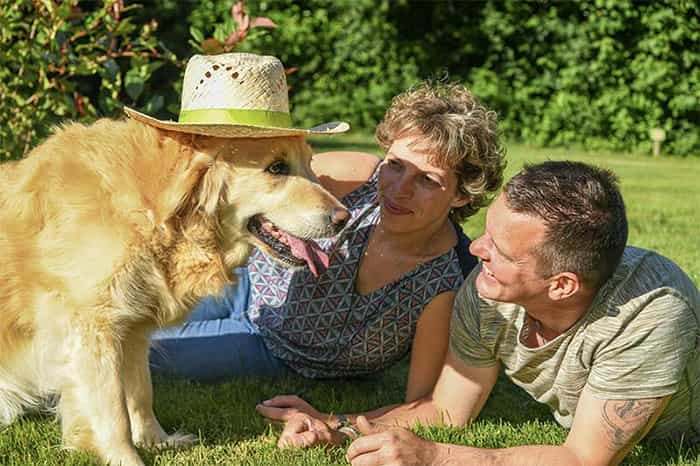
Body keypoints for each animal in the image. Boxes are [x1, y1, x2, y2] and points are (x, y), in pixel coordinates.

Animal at [0, 115, 348, 462]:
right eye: (277, 167)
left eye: (309, 163)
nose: (343, 218)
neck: (156, 211)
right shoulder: (93, 328)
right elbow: (114, 413)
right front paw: (125, 458)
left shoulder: (133, 328)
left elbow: (141, 392)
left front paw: (157, 441)